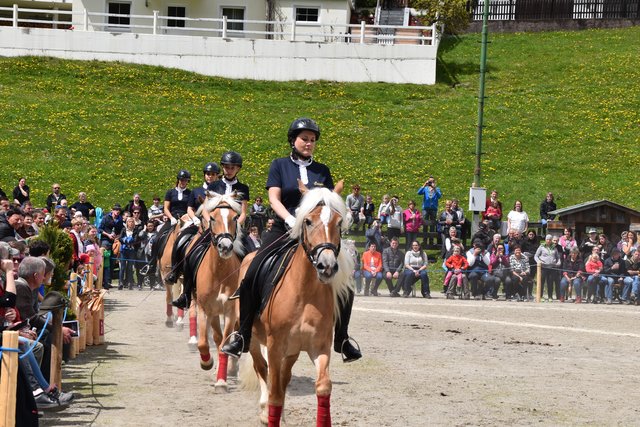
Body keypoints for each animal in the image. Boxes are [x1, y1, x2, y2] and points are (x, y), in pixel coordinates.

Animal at [189, 192, 246, 392]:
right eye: (212, 218)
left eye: (235, 218)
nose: (225, 246)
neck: (220, 271)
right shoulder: (204, 308)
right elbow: (203, 342)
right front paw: (206, 362)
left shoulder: (230, 311)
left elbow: (223, 345)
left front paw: (221, 381)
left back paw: (232, 368)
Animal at [239, 182, 352, 426]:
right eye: (308, 221)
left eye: (338, 222)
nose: (327, 266)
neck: (304, 291)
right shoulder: (274, 346)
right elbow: (274, 392)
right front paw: (270, 412)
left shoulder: (319, 346)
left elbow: (322, 387)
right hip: (253, 340)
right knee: (262, 369)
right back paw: (264, 410)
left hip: (291, 351)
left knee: (283, 377)